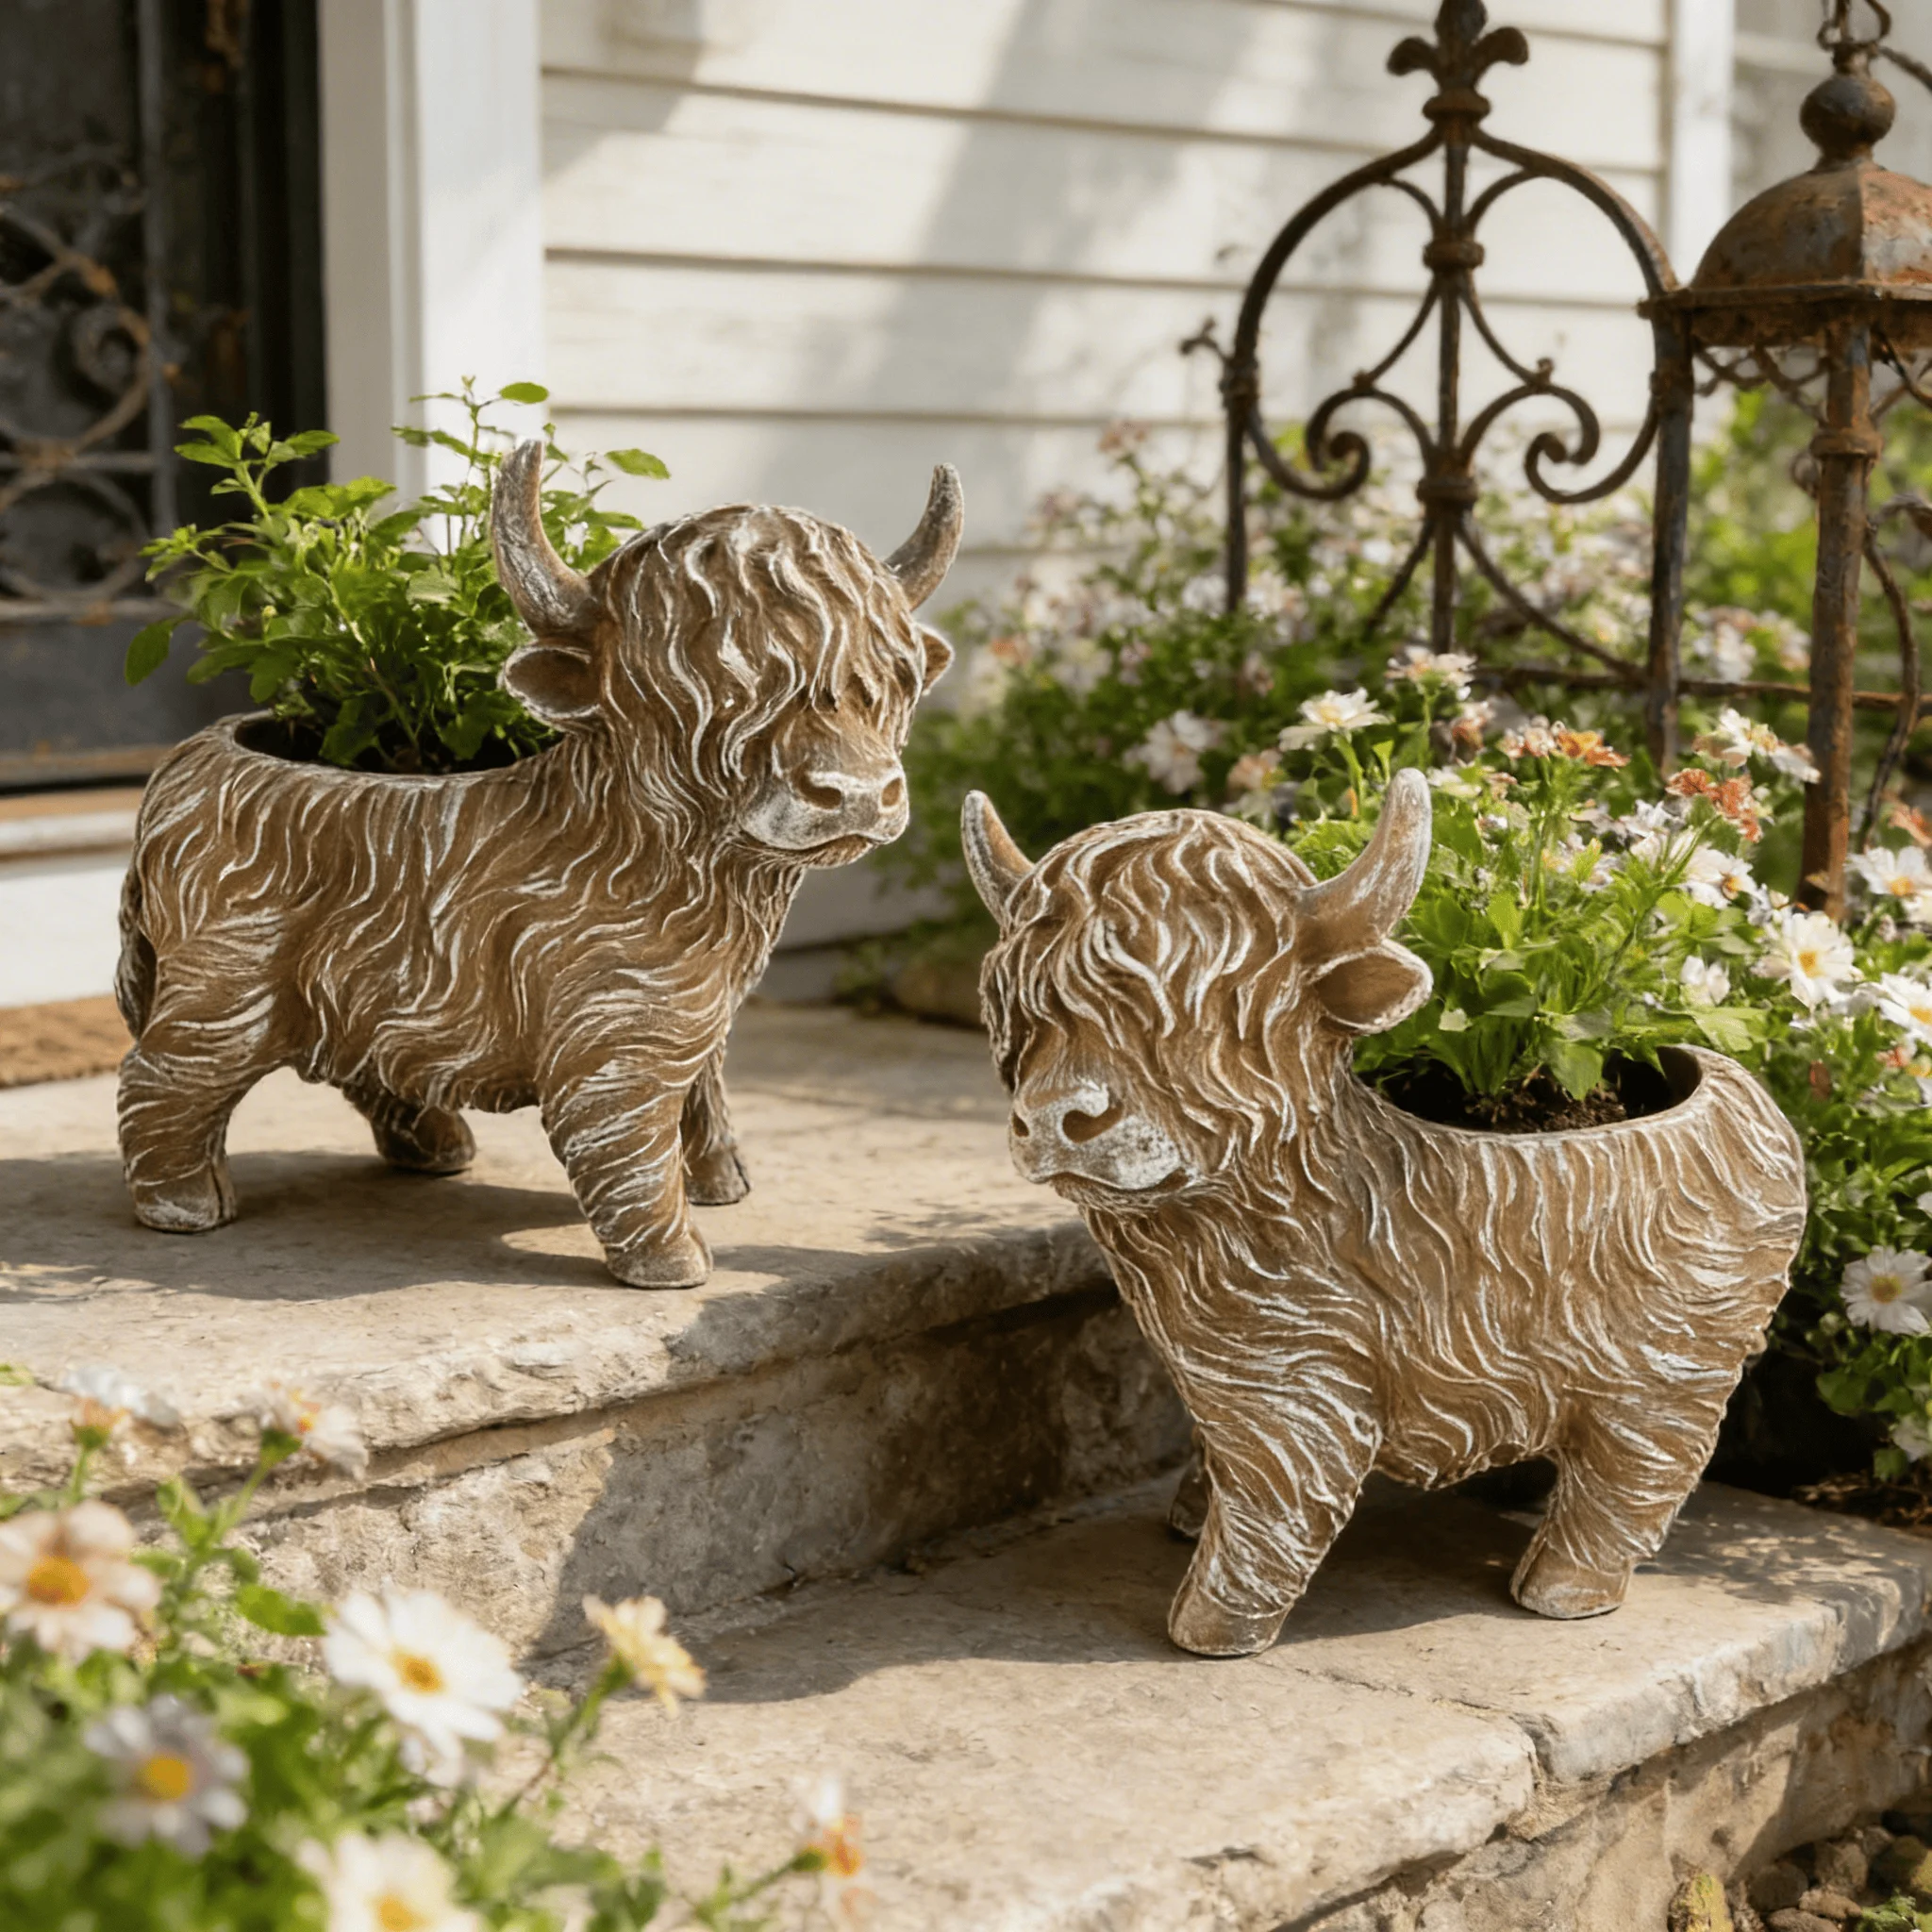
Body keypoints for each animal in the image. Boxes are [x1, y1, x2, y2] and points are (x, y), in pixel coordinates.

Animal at [114, 442, 961, 1288]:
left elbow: (705, 1096)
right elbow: (630, 1144)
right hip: (227, 990)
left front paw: (725, 1184)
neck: (687, 870)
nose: (857, 793)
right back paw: (183, 1204)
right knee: (162, 1075)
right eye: (716, 689)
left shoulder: (699, 1017)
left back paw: (436, 1147)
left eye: (895, 678)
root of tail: (178, 776)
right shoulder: (617, 1036)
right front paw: (671, 1259)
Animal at [960, 770, 1806, 1656]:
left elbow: (1271, 1516)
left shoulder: (1305, 1391)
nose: (1055, 1118)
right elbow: (1215, 1459)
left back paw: (1559, 1587)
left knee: (1634, 1479)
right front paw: (1190, 1516)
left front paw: (1211, 1627)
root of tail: (1747, 1097)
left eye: (1193, 1025)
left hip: (1672, 1371)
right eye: (1024, 1016)